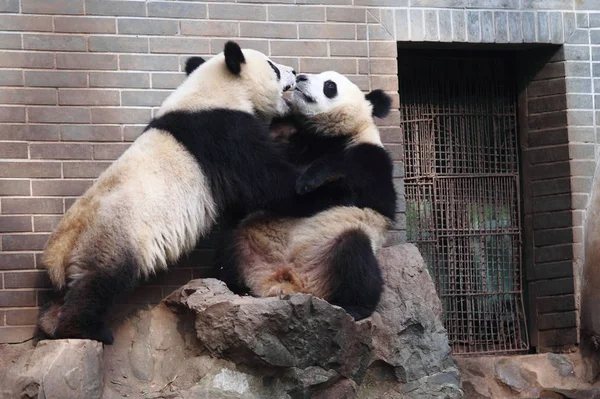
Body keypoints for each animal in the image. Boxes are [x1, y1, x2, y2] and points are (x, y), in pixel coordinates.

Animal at [38, 42, 342, 346]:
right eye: (273, 67)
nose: (293, 70)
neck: (216, 91)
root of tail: (59, 250)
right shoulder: (224, 133)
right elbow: (268, 183)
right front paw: (329, 190)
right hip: (112, 236)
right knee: (99, 282)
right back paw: (86, 330)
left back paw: (50, 324)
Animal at [216, 71, 398, 322]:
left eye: (330, 86)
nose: (301, 76)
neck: (327, 136)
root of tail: (292, 282)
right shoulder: (293, 145)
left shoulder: (371, 158)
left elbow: (373, 196)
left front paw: (309, 180)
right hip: (249, 240)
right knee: (228, 243)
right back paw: (234, 288)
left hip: (332, 250)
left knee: (356, 255)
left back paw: (355, 308)